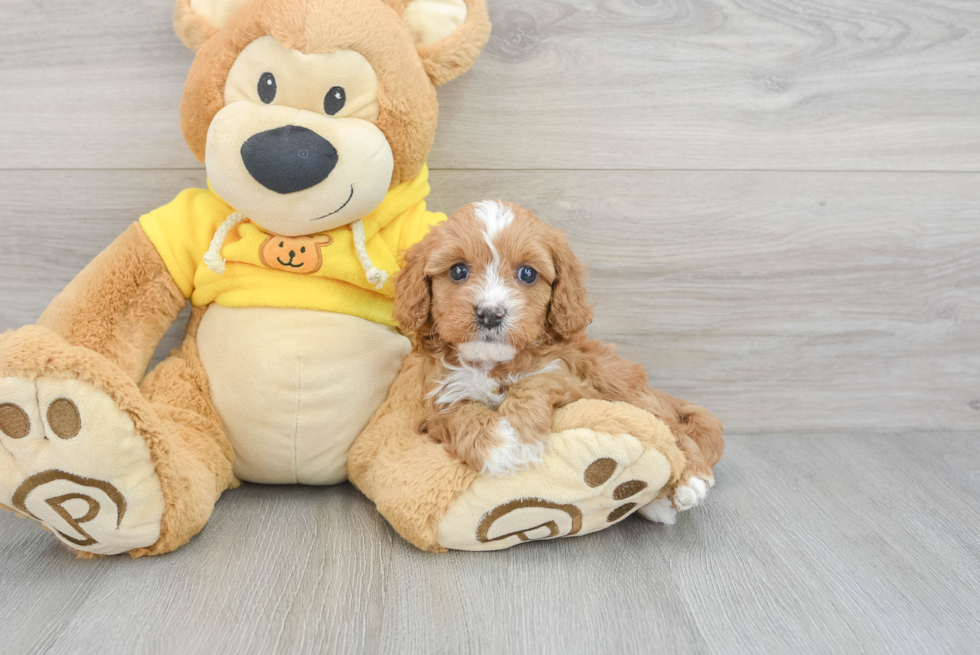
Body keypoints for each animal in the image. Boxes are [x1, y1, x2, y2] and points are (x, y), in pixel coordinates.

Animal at [394, 200, 724, 512]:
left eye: (528, 274)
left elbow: (537, 381)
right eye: (458, 270)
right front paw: (498, 447)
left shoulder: (576, 381)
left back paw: (691, 479)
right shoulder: (440, 401)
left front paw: (518, 436)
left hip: (618, 382)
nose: (490, 314)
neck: (493, 364)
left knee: (671, 428)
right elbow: (461, 411)